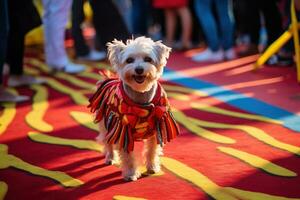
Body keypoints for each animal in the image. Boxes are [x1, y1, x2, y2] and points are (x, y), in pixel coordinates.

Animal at [88, 36, 179, 181]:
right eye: (129, 60)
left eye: (148, 59)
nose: (139, 69)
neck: (141, 97)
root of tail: (109, 79)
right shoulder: (123, 131)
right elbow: (128, 157)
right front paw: (131, 174)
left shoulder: (156, 129)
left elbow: (152, 151)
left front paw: (152, 167)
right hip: (106, 124)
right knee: (107, 142)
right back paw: (110, 157)